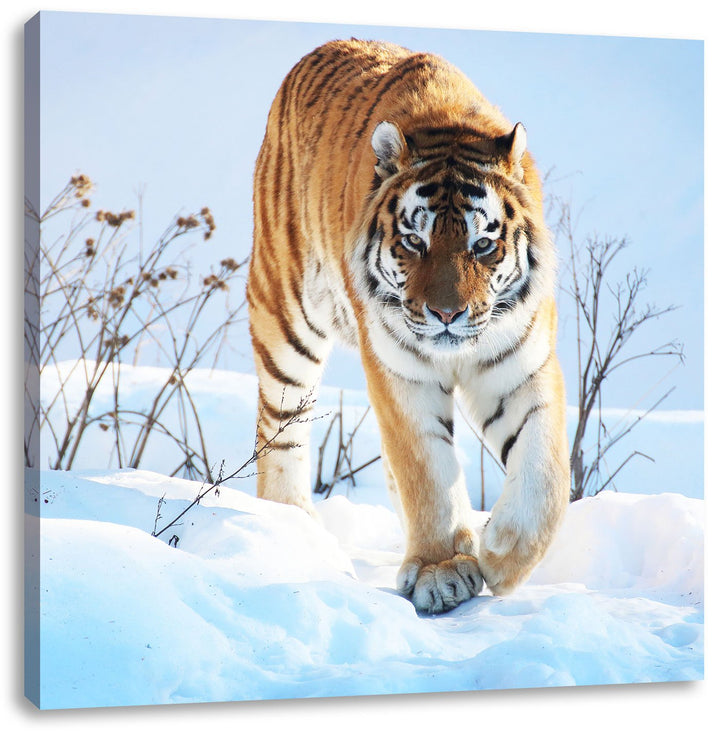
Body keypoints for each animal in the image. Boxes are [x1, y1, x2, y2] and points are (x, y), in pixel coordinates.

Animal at [247, 39, 570, 614]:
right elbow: (426, 469)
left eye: (482, 245)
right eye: (414, 242)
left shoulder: (521, 366)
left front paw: (502, 554)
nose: (446, 314)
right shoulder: (400, 371)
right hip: (285, 317)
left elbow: (546, 472)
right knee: (280, 426)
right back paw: (292, 526)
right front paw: (443, 570)